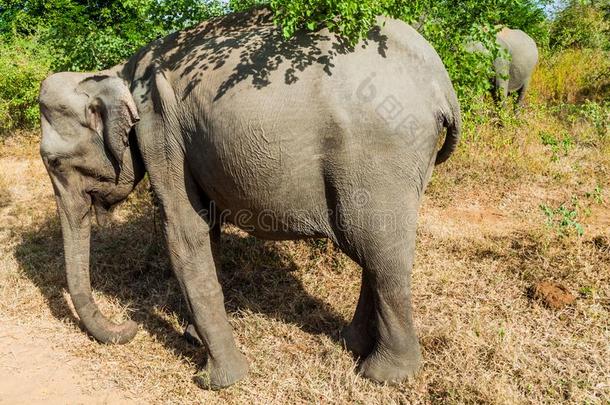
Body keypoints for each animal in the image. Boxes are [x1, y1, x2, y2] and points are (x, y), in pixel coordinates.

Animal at [36, 7, 456, 388]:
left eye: (54, 162)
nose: (130, 325)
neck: (117, 72)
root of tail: (440, 82)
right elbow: (206, 228)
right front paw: (193, 337)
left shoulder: (160, 129)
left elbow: (183, 231)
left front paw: (216, 380)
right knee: (375, 247)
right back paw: (352, 344)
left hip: (380, 153)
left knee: (379, 250)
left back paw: (384, 375)